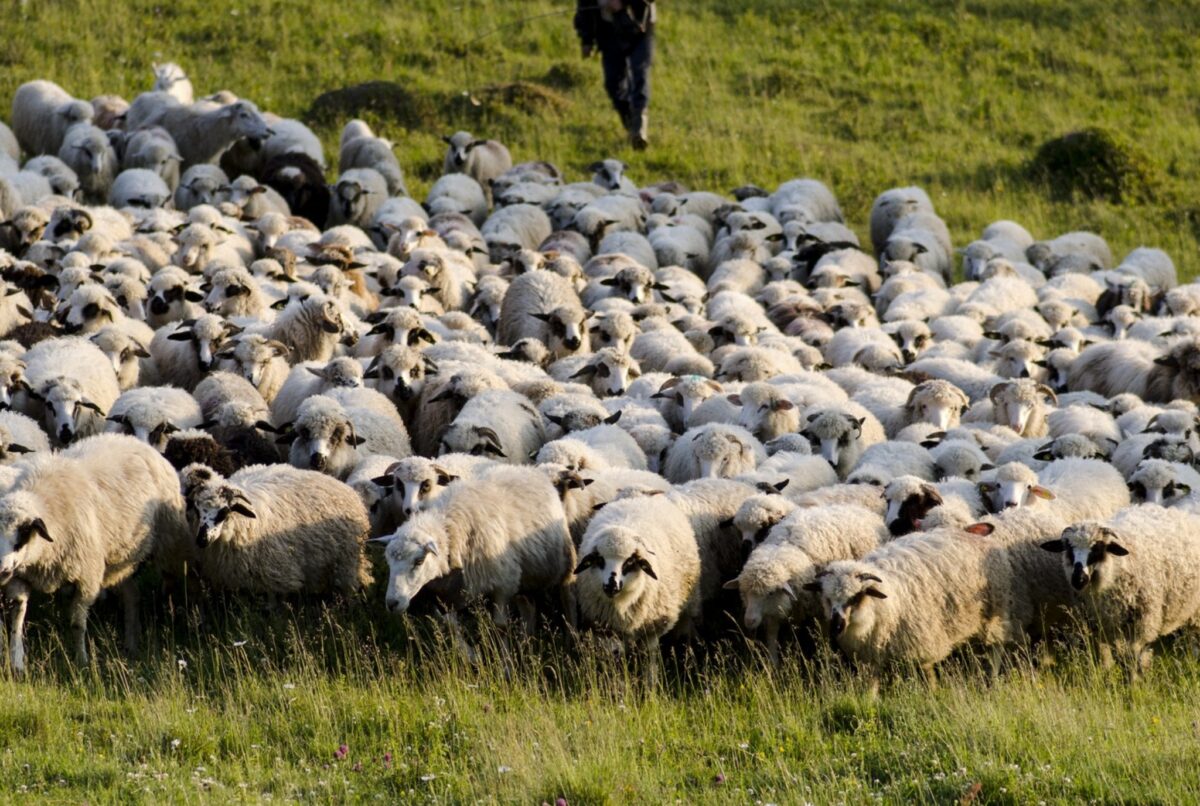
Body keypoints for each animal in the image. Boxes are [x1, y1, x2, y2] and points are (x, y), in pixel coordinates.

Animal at [0, 436, 188, 671]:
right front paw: (17, 663)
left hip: (168, 545)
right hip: (119, 561)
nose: (1, 571)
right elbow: (17, 619)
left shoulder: (86, 578)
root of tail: (136, 441)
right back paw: (131, 644)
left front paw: (82, 661)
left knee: (167, 581)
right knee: (132, 594)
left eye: (23, 535)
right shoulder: (20, 577)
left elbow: (77, 624)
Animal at [381, 462, 573, 628]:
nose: (392, 603)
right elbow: (452, 627)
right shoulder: (447, 595)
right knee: (528, 607)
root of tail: (526, 468)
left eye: (419, 561)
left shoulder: (503, 583)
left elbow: (500, 626)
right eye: (389, 563)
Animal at [1036, 506, 1200, 676]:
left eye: (1098, 549)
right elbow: (1114, 656)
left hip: (1196, 611)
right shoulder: (1102, 625)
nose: (1078, 579)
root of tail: (1181, 513)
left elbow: (1132, 658)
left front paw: (1135, 679)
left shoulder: (1140, 624)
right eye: (1068, 549)